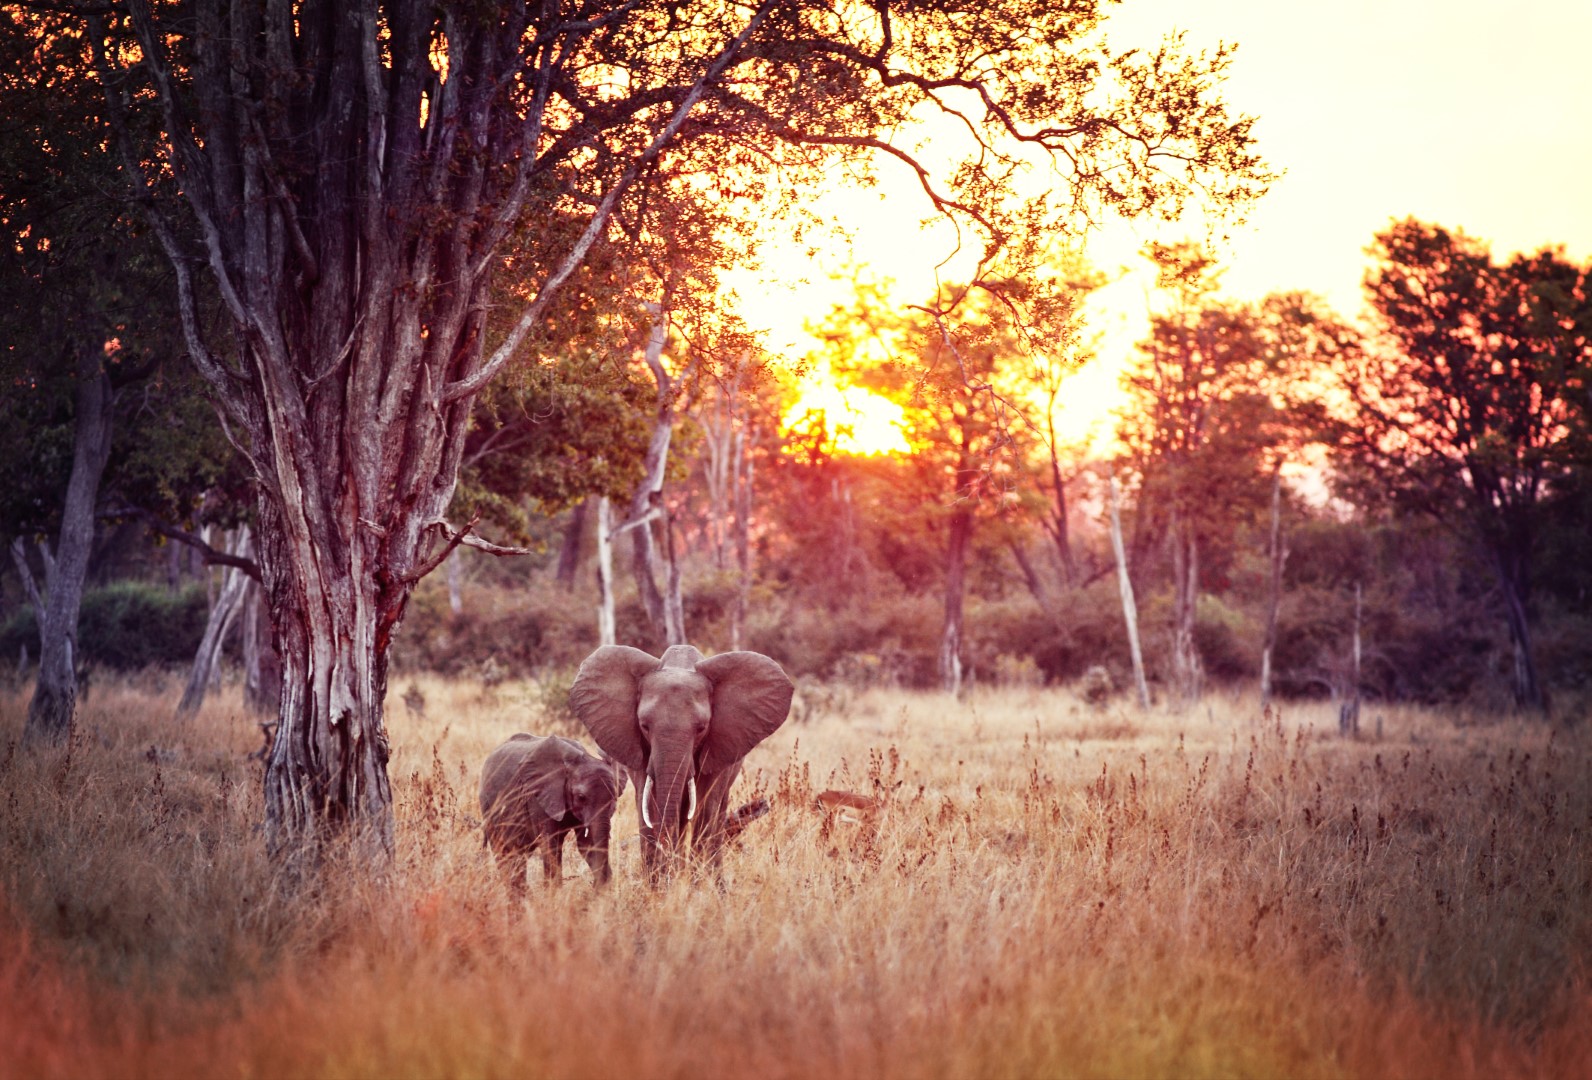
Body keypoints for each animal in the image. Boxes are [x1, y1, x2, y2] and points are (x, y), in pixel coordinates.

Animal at [478, 733, 626, 889]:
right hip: (488, 807)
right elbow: (550, 844)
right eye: (581, 797)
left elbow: (587, 844)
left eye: (614, 798)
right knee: (505, 852)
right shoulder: (537, 796)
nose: (594, 886)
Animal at [569, 644, 794, 876]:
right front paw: (659, 880)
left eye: (702, 728)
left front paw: (697, 881)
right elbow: (647, 803)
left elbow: (706, 805)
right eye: (644, 726)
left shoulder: (719, 744)